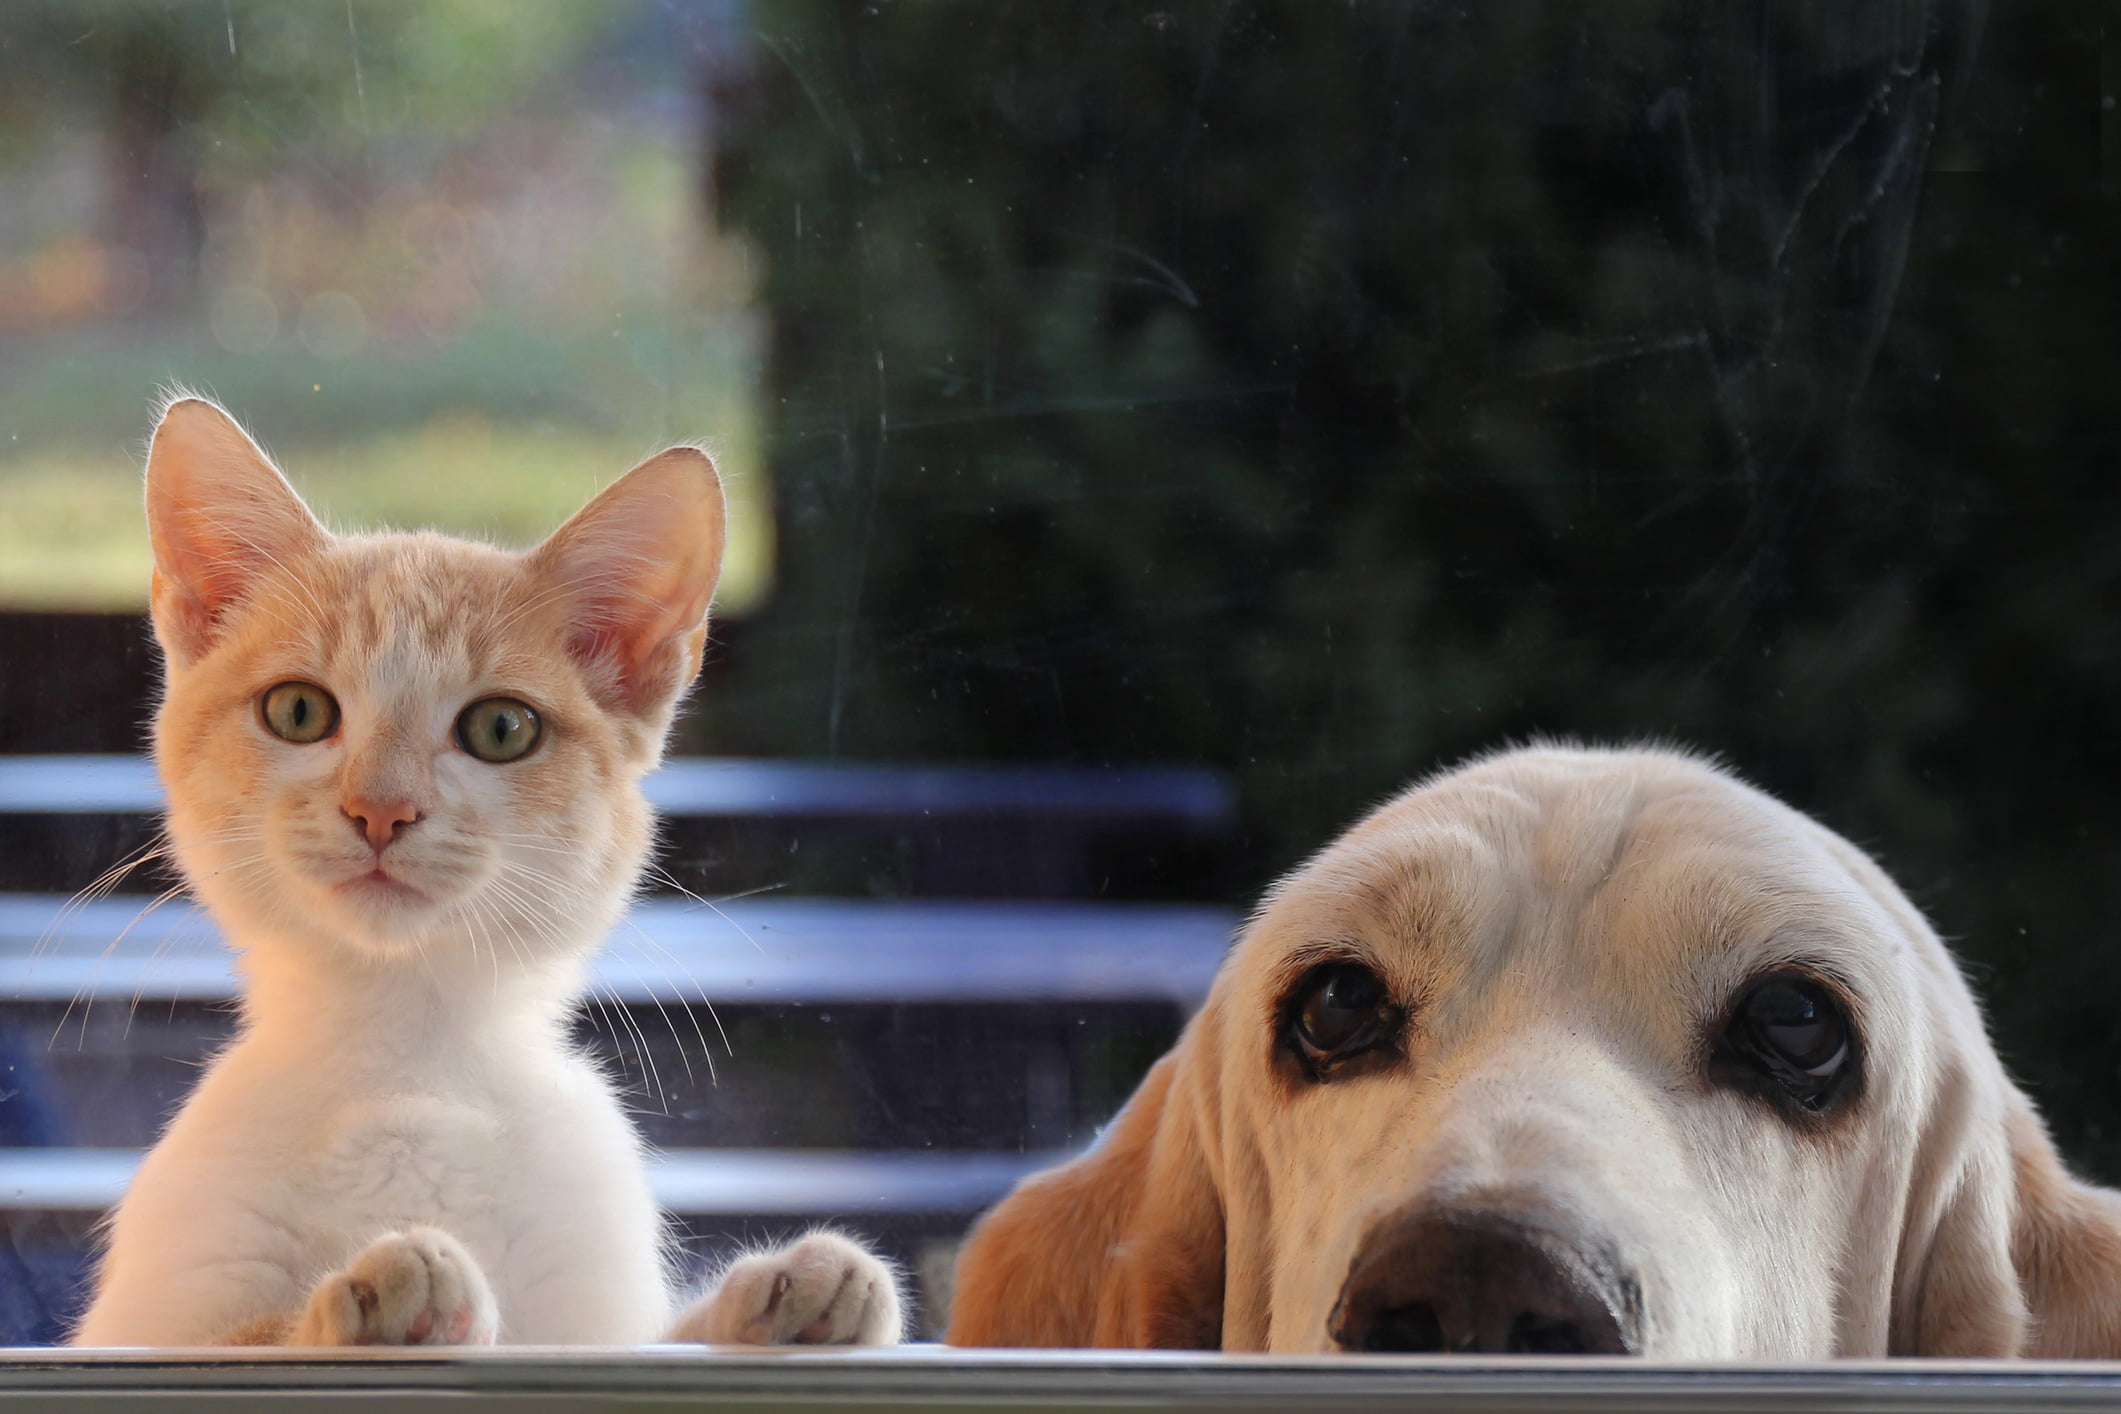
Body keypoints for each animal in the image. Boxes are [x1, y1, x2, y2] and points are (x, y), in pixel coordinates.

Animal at [72, 398, 903, 1348]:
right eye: (299, 710)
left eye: (501, 729)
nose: (381, 809)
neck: (412, 1063)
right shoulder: (147, 1316)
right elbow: (236, 1340)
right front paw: (376, 1294)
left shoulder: (592, 1309)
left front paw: (787, 1295)